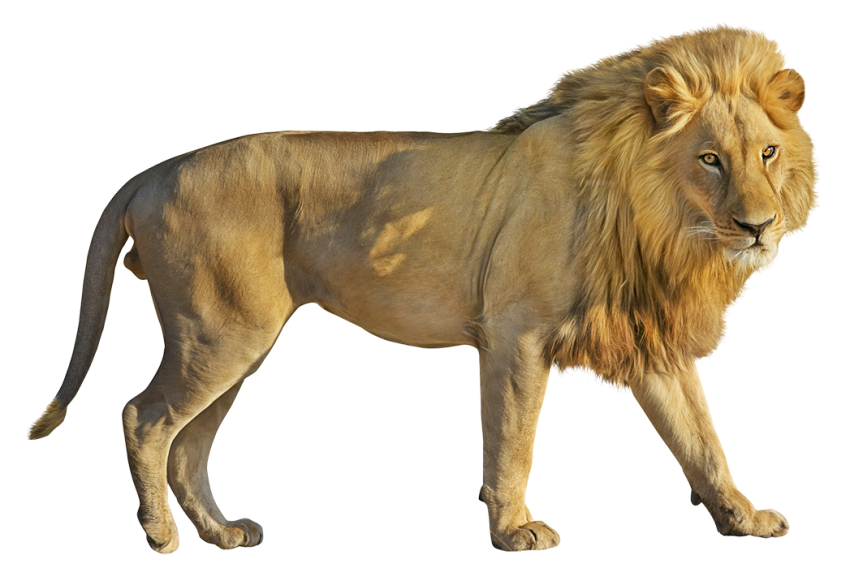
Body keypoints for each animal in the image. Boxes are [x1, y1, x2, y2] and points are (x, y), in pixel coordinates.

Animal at [27, 23, 819, 553]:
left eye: (767, 152)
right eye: (710, 158)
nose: (758, 227)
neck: (657, 219)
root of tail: (155, 169)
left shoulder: (646, 337)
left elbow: (702, 437)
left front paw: (743, 519)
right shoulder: (515, 331)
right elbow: (513, 439)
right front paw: (514, 529)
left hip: (236, 343)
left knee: (188, 444)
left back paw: (222, 534)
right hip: (221, 332)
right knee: (144, 417)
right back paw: (160, 536)